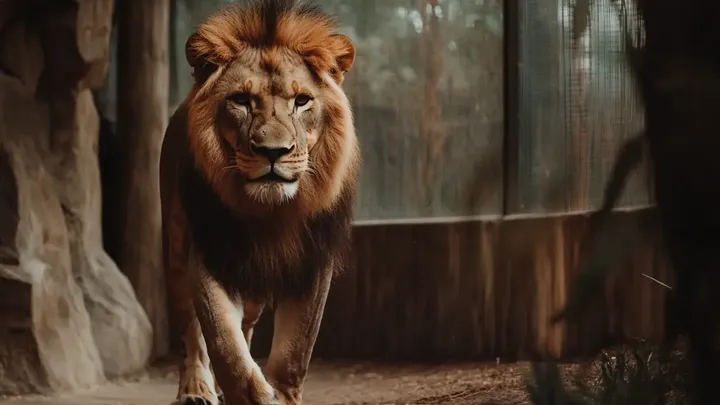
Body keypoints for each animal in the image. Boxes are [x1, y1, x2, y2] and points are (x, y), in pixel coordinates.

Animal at [159, 1, 359, 404]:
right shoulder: (209, 253)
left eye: (301, 101)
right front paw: (250, 393)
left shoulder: (313, 261)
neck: (270, 214)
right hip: (176, 252)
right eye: (241, 100)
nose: (272, 152)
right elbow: (224, 344)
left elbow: (295, 352)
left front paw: (281, 393)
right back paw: (196, 388)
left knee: (247, 325)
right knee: (192, 334)